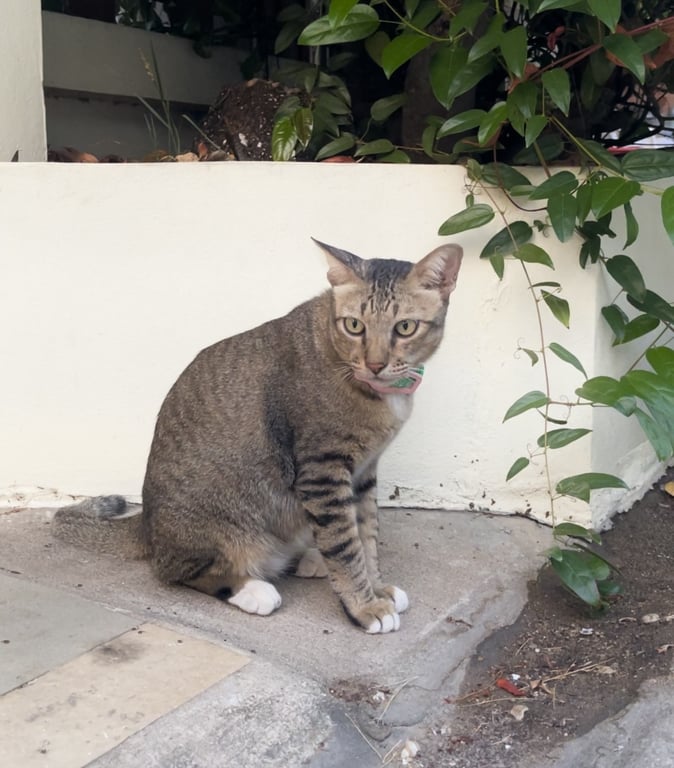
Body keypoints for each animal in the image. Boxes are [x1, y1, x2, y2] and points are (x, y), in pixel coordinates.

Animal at [53, 239, 462, 633]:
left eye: (405, 327)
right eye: (354, 325)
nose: (375, 364)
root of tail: (147, 525)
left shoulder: (364, 471)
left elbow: (366, 533)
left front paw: (376, 587)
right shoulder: (323, 472)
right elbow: (345, 545)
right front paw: (364, 607)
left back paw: (309, 560)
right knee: (176, 571)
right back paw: (252, 589)